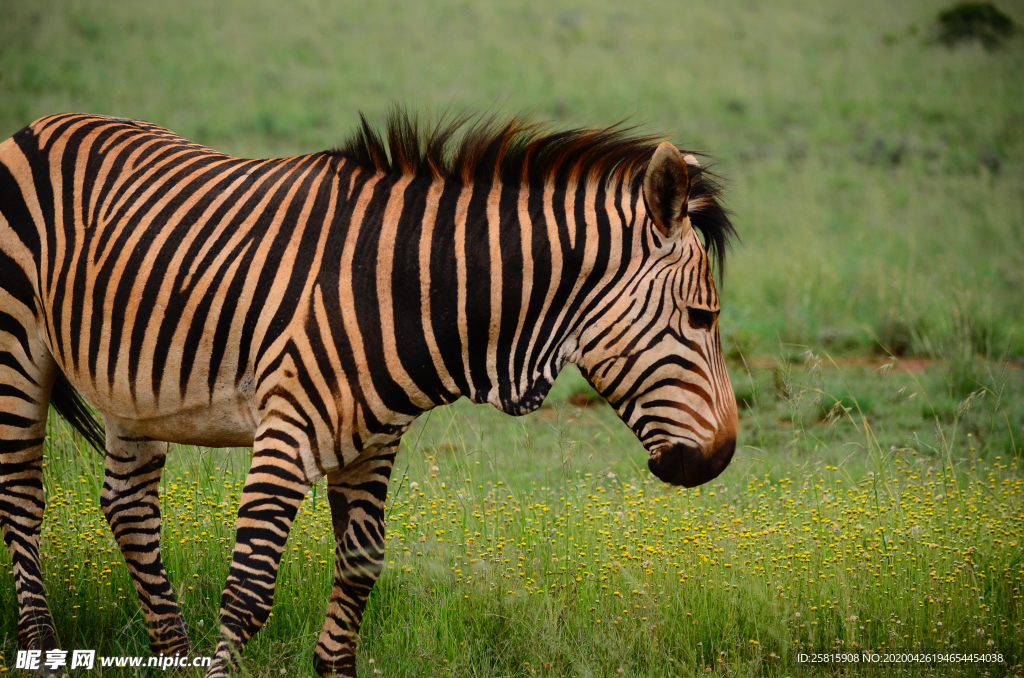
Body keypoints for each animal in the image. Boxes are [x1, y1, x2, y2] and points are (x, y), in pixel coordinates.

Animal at [0, 110, 737, 675]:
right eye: (703, 318)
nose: (722, 458)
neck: (410, 289)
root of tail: (39, 125)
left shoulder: (374, 441)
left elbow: (360, 567)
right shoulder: (286, 431)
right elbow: (249, 590)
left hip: (130, 390)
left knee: (128, 508)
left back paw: (171, 654)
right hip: (16, 348)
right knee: (22, 499)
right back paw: (41, 648)